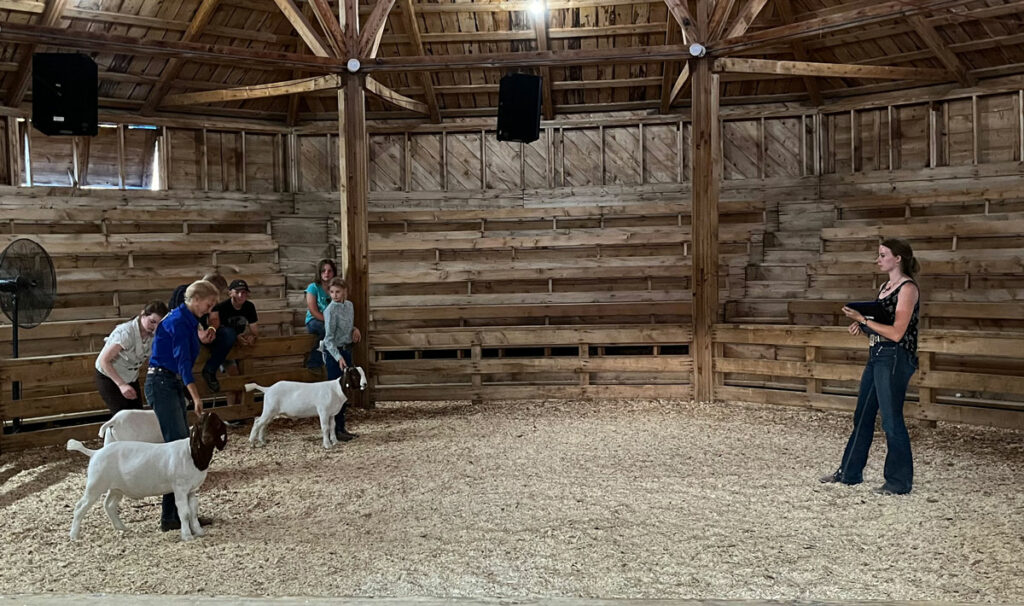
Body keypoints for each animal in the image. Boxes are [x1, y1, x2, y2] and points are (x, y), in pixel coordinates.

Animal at [68, 411, 228, 540]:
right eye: (200, 424)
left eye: (216, 423)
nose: (206, 437)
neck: (192, 454)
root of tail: (95, 453)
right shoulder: (180, 488)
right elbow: (185, 513)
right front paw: (187, 536)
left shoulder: (193, 490)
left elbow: (193, 511)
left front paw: (199, 531)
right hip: (95, 484)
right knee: (80, 506)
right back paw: (74, 535)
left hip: (116, 488)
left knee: (109, 505)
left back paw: (121, 527)